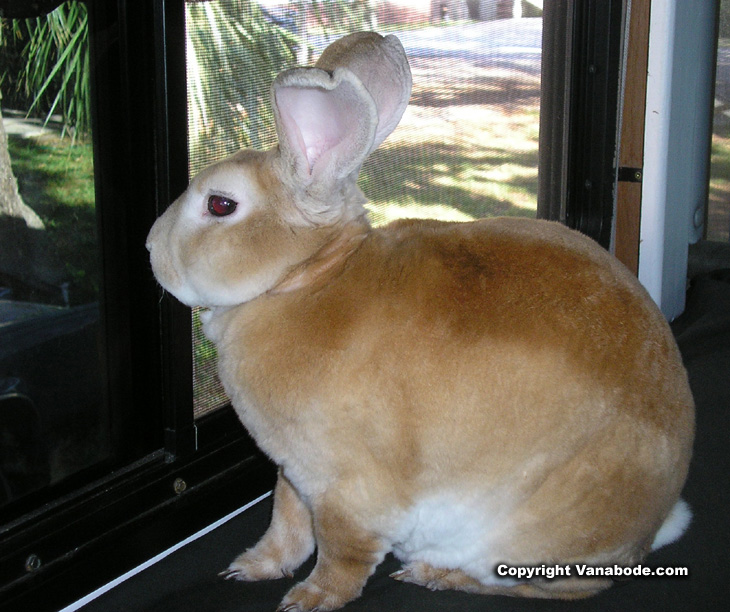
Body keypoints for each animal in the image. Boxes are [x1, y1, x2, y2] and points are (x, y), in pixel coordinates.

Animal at [144, 32, 692, 612]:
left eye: (220, 205)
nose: (151, 247)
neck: (307, 279)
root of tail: (647, 531)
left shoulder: (348, 487)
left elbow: (341, 551)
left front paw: (309, 599)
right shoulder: (295, 473)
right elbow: (286, 523)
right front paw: (251, 567)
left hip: (533, 532)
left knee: (567, 585)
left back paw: (436, 575)